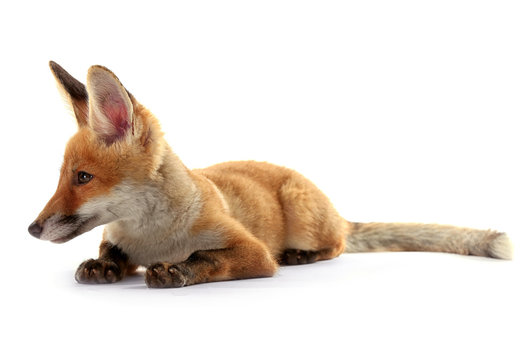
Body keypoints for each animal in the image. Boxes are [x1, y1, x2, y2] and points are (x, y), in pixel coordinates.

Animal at [27, 61, 512, 286]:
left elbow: (206, 257)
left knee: (338, 244)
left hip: (304, 214)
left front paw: (178, 270)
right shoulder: (118, 240)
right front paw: (102, 266)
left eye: (82, 178)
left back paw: (303, 256)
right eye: (61, 177)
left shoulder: (253, 252)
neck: (153, 239)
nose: (31, 229)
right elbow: (110, 254)